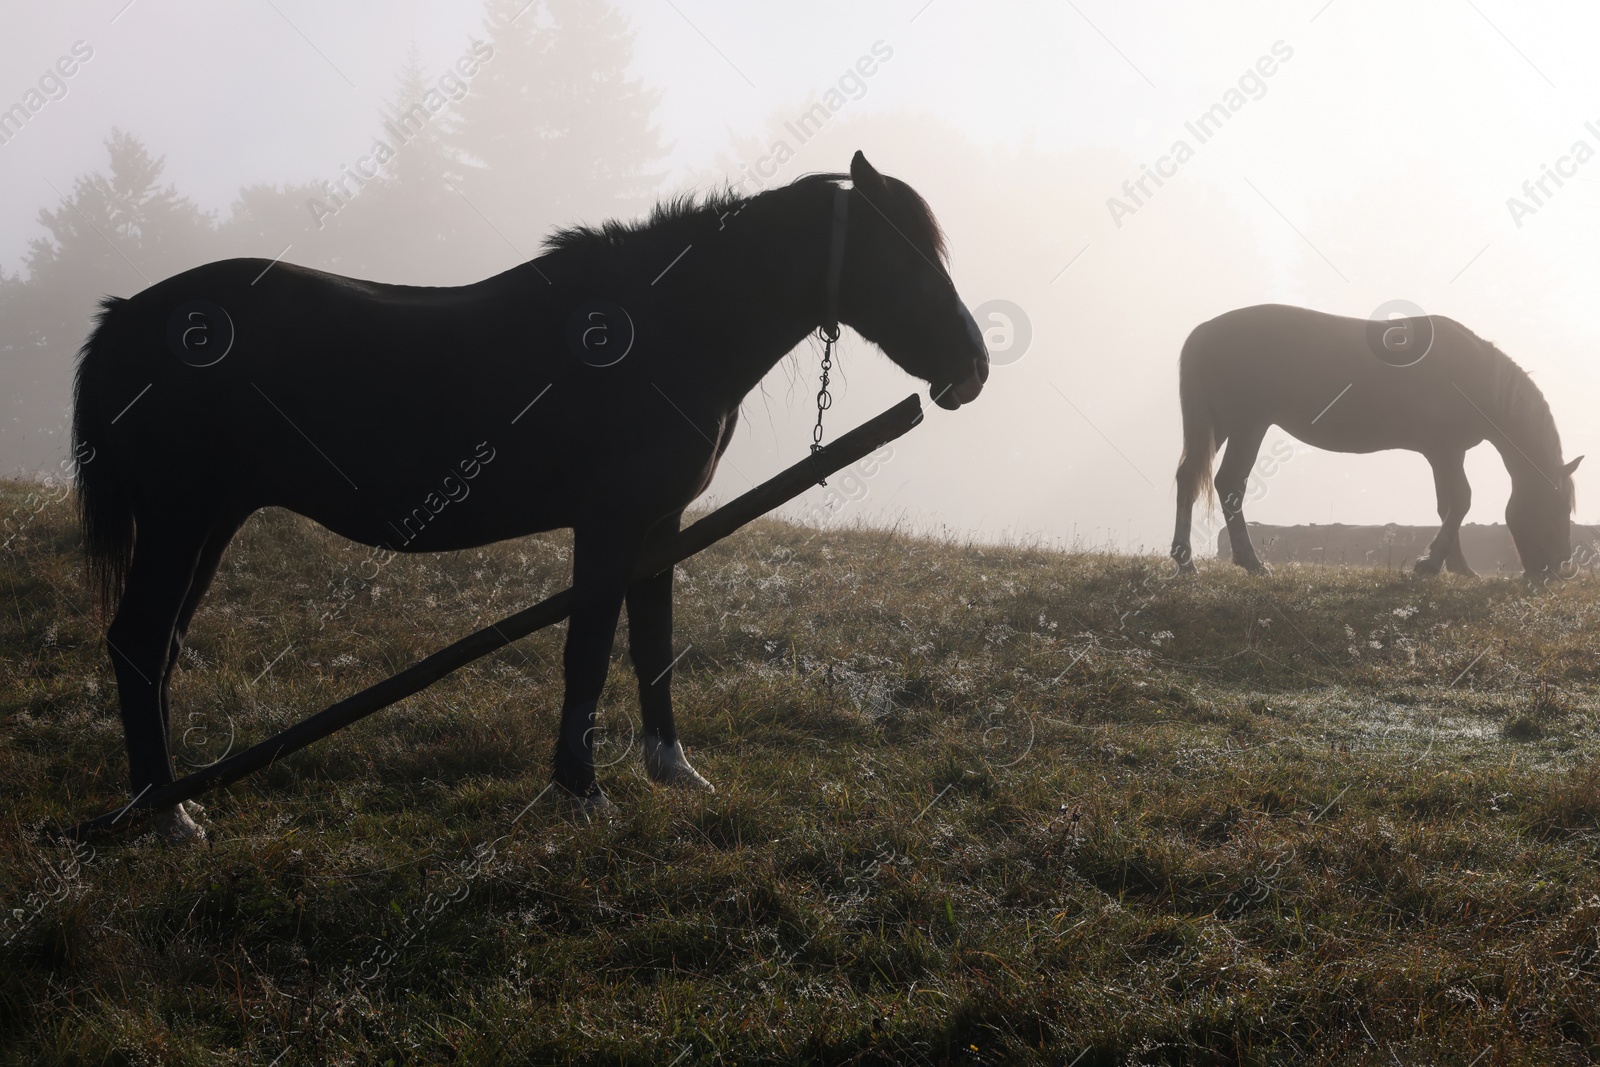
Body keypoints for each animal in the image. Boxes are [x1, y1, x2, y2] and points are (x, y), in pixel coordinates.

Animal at [72, 151, 985, 831]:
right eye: (902, 253)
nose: (972, 366)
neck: (662, 329)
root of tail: (125, 317)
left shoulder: (661, 523)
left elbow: (653, 646)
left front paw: (672, 767)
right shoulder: (609, 524)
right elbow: (588, 649)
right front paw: (581, 789)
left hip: (209, 521)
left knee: (160, 645)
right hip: (181, 520)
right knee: (139, 639)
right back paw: (163, 811)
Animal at [1171, 303, 1580, 579]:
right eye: (1557, 507)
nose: (1557, 569)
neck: (1473, 374)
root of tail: (1205, 331)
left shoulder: (1445, 454)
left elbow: (1446, 505)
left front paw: (1457, 567)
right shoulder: (1445, 452)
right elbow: (1460, 502)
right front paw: (1431, 564)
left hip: (1222, 426)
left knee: (1188, 478)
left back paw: (1185, 559)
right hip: (1248, 424)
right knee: (1230, 484)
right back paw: (1250, 562)